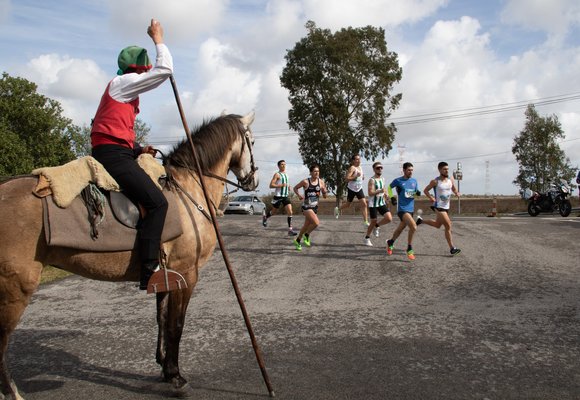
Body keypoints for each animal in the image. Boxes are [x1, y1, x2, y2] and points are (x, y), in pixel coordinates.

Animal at [0, 111, 258, 398]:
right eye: (252, 142)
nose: (253, 180)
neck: (188, 190)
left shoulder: (166, 275)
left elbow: (162, 319)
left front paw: (164, 369)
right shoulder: (187, 274)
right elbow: (176, 325)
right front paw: (176, 376)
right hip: (15, 288)